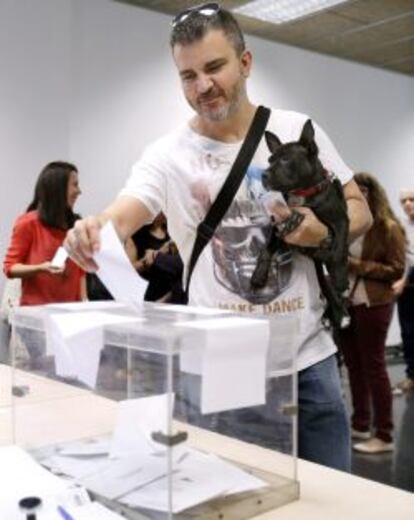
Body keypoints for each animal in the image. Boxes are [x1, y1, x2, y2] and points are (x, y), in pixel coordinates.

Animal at [251, 119, 350, 330]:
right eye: (270, 160)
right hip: (317, 266)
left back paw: (341, 307)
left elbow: (338, 251)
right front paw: (258, 275)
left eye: (285, 159)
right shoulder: (278, 228)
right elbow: (265, 250)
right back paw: (333, 314)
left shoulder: (340, 221)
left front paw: (339, 278)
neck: (302, 193)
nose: (264, 175)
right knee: (324, 284)